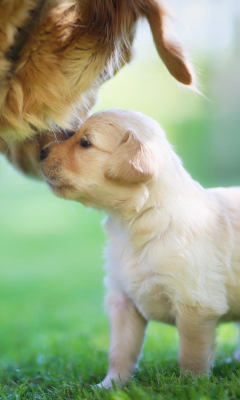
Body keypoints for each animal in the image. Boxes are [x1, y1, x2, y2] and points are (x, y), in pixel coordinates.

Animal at [40, 109, 240, 388]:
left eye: (86, 143)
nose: (40, 153)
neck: (136, 224)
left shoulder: (196, 306)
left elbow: (191, 354)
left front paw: (191, 385)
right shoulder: (123, 301)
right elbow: (120, 350)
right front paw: (111, 385)